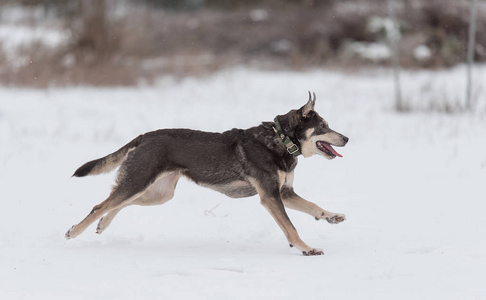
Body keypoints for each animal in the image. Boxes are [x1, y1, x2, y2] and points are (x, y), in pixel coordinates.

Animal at [67, 92, 350, 255]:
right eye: (323, 126)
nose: (347, 138)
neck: (280, 140)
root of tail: (145, 136)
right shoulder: (270, 196)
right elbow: (291, 228)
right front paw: (307, 249)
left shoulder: (285, 193)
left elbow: (313, 206)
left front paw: (332, 217)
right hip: (139, 181)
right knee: (100, 206)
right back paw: (74, 232)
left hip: (158, 193)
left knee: (114, 205)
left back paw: (103, 225)